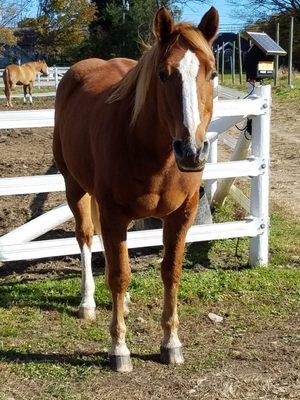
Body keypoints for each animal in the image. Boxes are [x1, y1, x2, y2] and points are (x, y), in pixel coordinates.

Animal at [53, 6, 218, 374]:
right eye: (163, 75)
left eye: (213, 73)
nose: (192, 151)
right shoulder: (113, 213)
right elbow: (118, 274)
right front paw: (119, 349)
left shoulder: (180, 216)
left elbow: (170, 272)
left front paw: (171, 343)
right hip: (74, 187)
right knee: (86, 237)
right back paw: (87, 301)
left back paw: (124, 302)